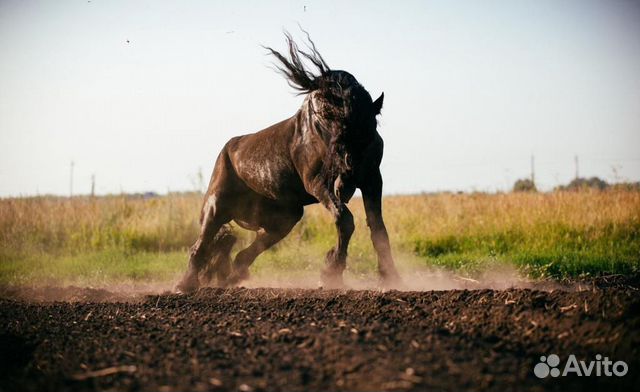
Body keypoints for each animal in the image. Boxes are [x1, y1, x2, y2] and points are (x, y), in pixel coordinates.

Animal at [175, 33, 402, 290]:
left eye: (368, 131)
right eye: (329, 122)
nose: (345, 181)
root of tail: (228, 148)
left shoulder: (372, 180)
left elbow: (378, 228)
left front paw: (391, 276)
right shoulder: (317, 183)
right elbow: (345, 219)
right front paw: (332, 273)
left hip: (285, 217)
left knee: (245, 251)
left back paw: (231, 278)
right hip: (216, 206)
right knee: (200, 245)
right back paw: (185, 284)